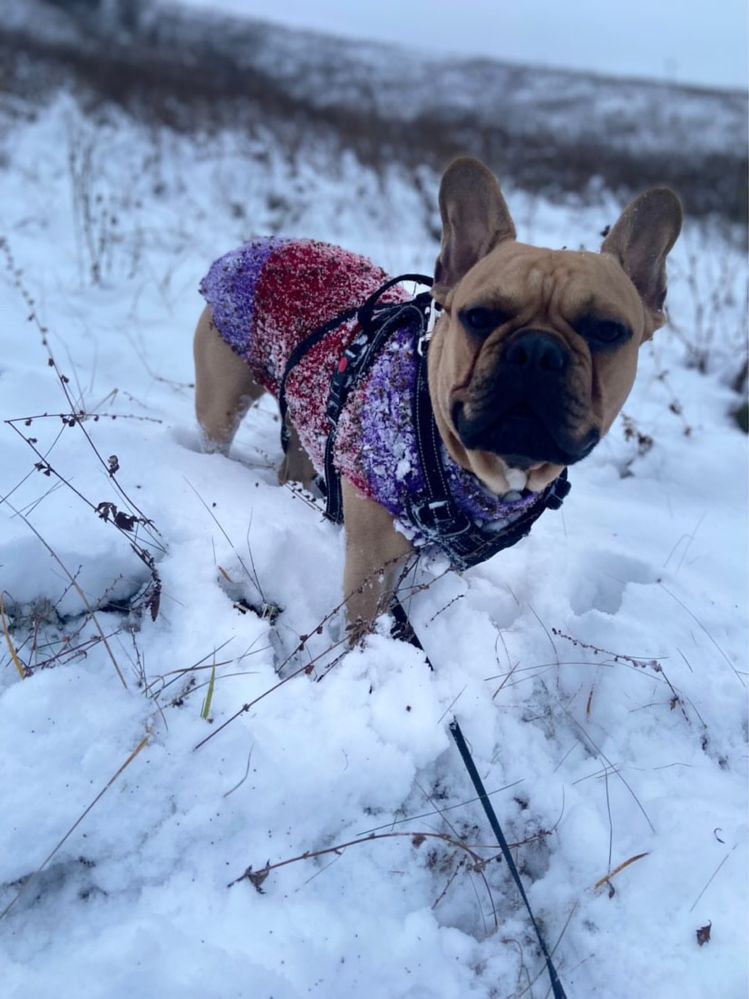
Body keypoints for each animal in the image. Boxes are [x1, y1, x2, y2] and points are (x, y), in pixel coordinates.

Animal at [194, 156, 684, 640]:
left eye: (607, 330)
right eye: (479, 316)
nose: (537, 352)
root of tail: (255, 248)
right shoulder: (370, 566)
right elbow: (366, 628)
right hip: (223, 399)